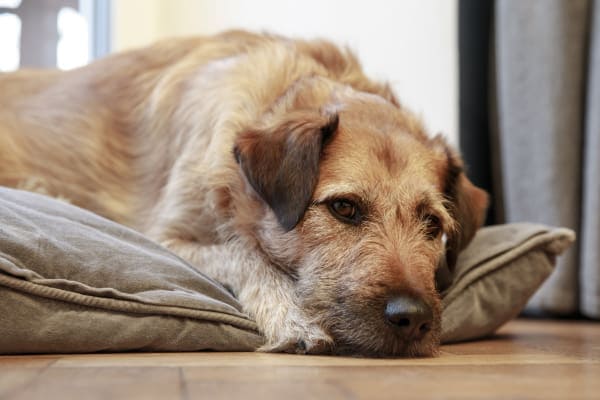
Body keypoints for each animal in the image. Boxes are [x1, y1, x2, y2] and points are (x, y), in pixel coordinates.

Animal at [0, 30, 488, 356]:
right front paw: (290, 314)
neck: (280, 96)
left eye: (432, 224)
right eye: (344, 208)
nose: (414, 318)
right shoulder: (166, 237)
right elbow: (243, 250)